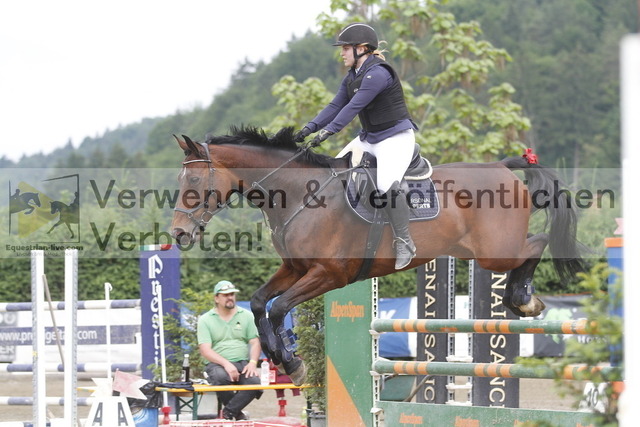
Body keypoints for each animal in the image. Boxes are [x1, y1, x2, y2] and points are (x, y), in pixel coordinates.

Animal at [170, 127, 584, 385]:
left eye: (195, 182)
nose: (178, 234)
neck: (300, 194)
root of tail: (501, 166)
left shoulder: (328, 274)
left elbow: (278, 307)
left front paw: (292, 363)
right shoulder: (295, 268)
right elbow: (258, 303)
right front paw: (280, 357)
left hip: (495, 254)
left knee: (537, 241)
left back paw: (523, 299)